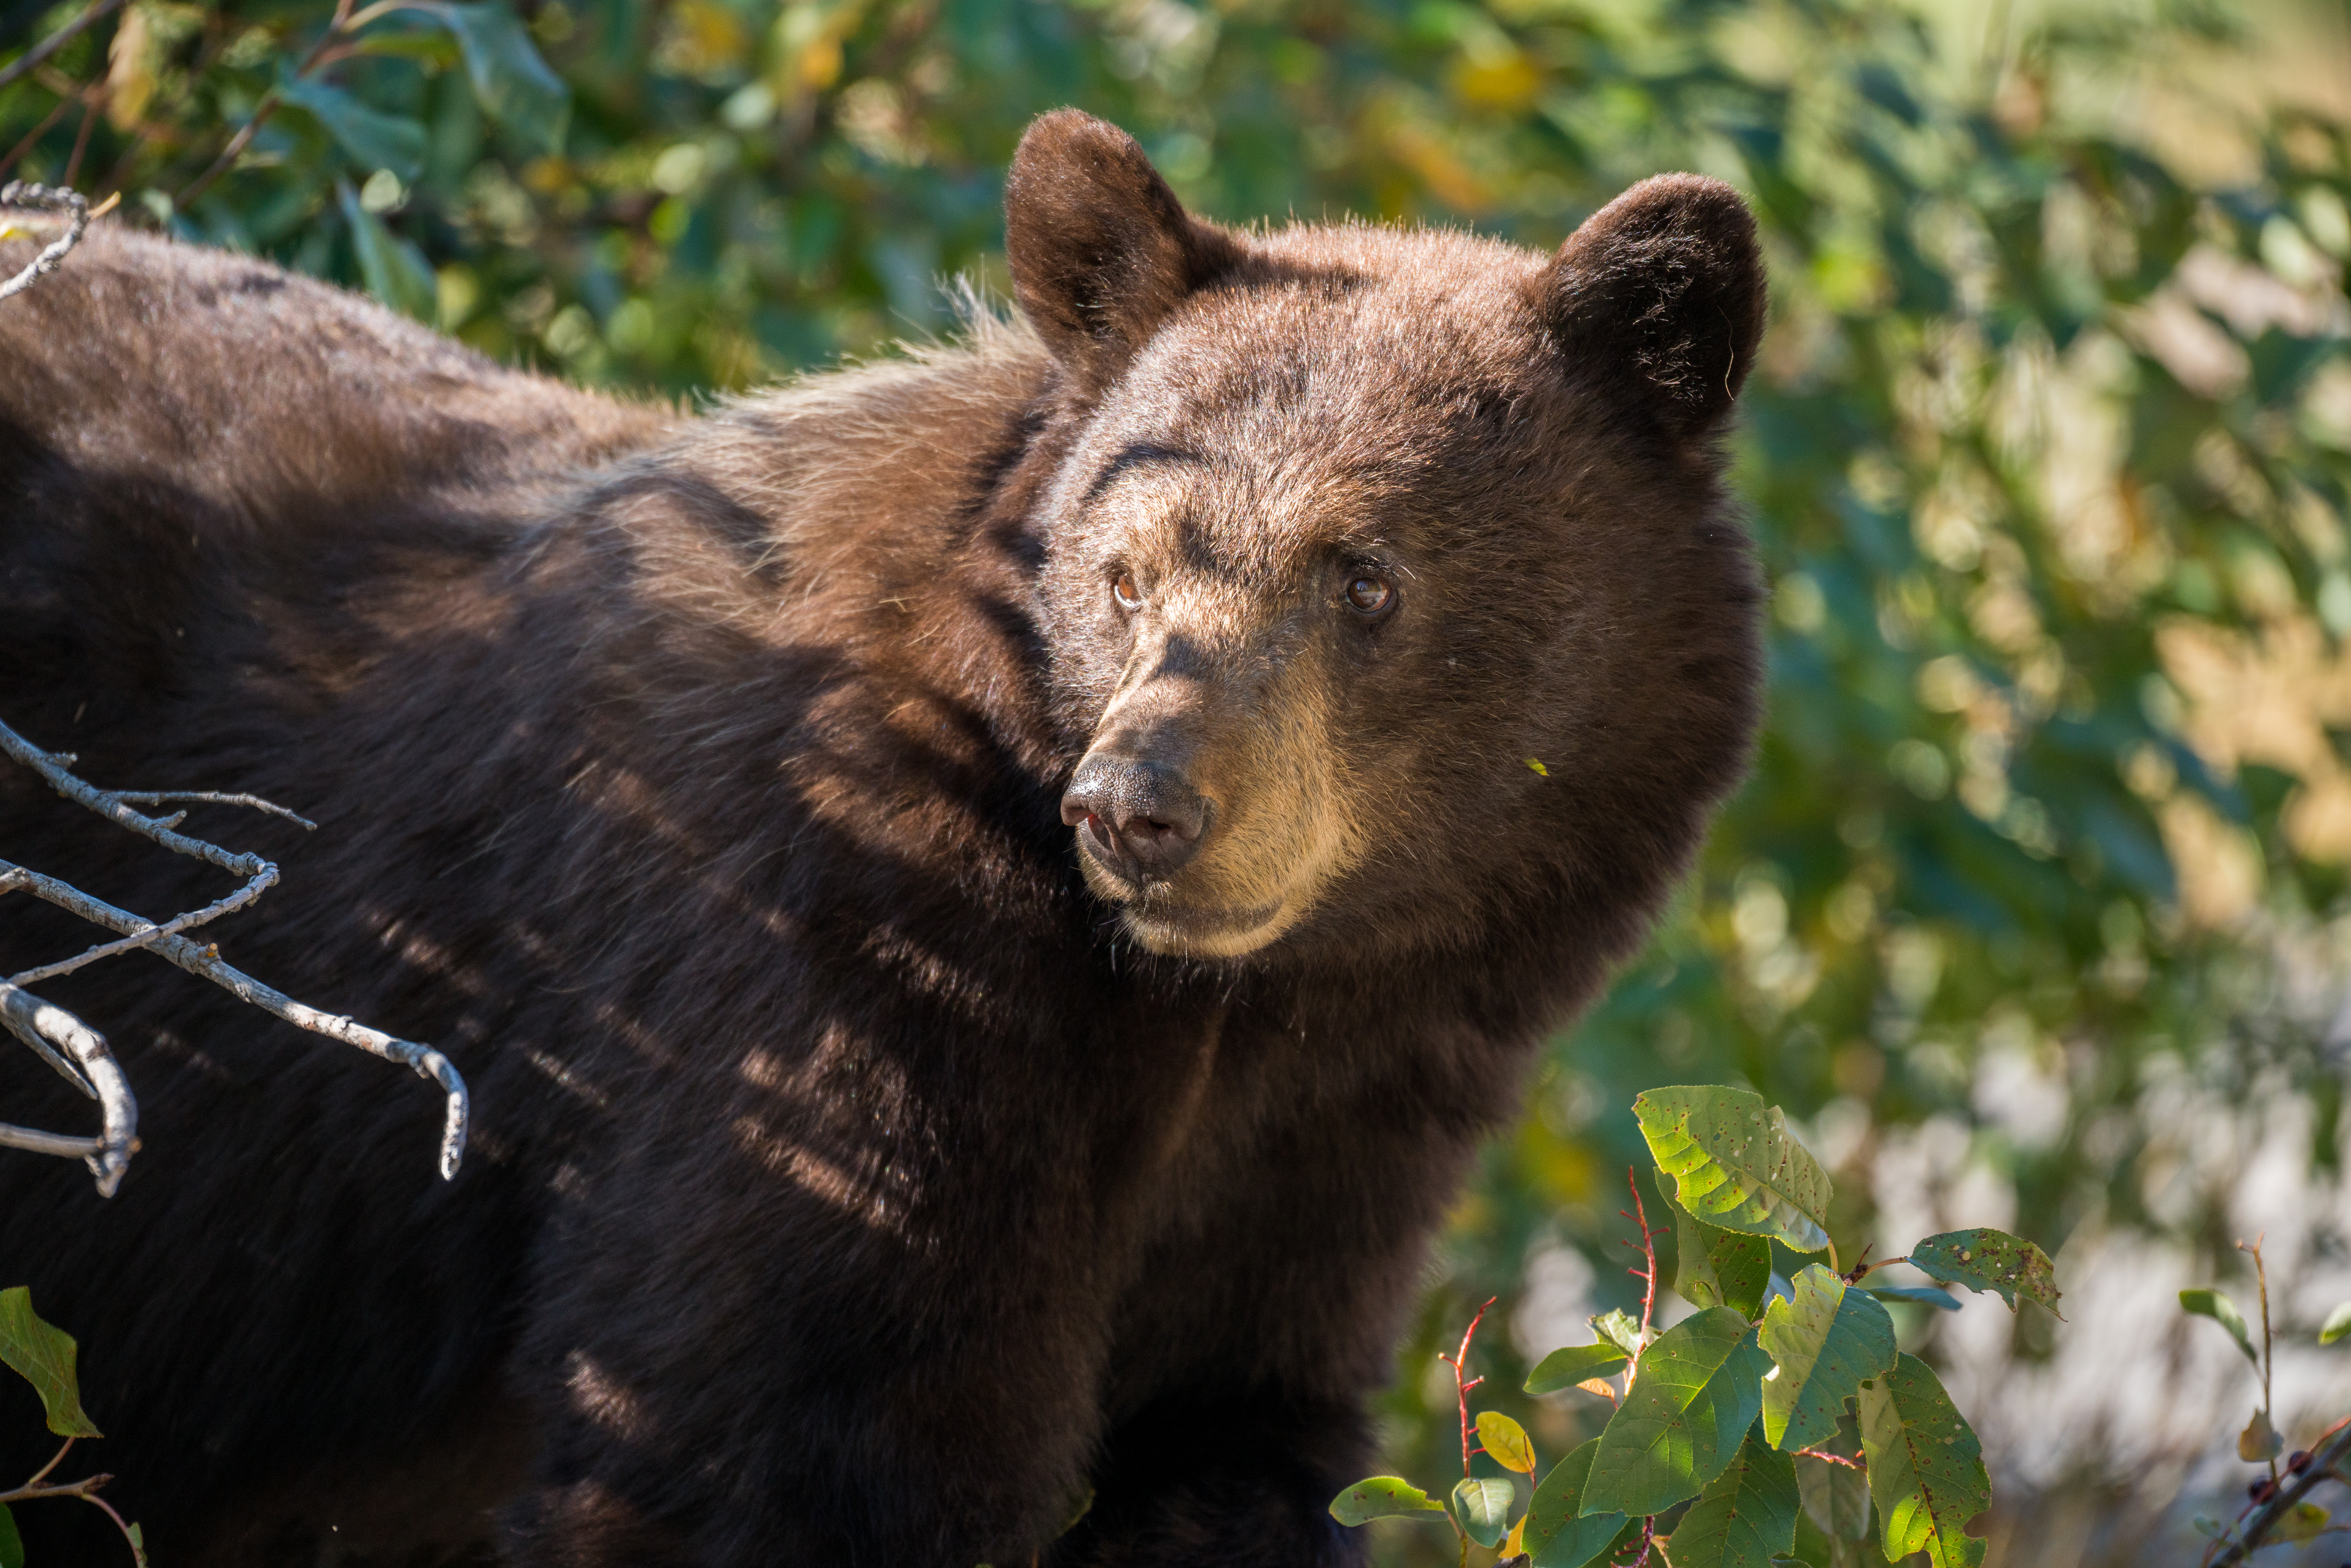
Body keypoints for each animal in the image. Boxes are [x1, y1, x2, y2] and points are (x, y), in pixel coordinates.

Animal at [0, 110, 1764, 1567]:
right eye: (1126, 569)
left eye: (1367, 574)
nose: (1140, 809)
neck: (1231, 1010)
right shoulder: (844, 966)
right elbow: (781, 1427)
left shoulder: (1333, 1152)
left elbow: (1230, 1439)